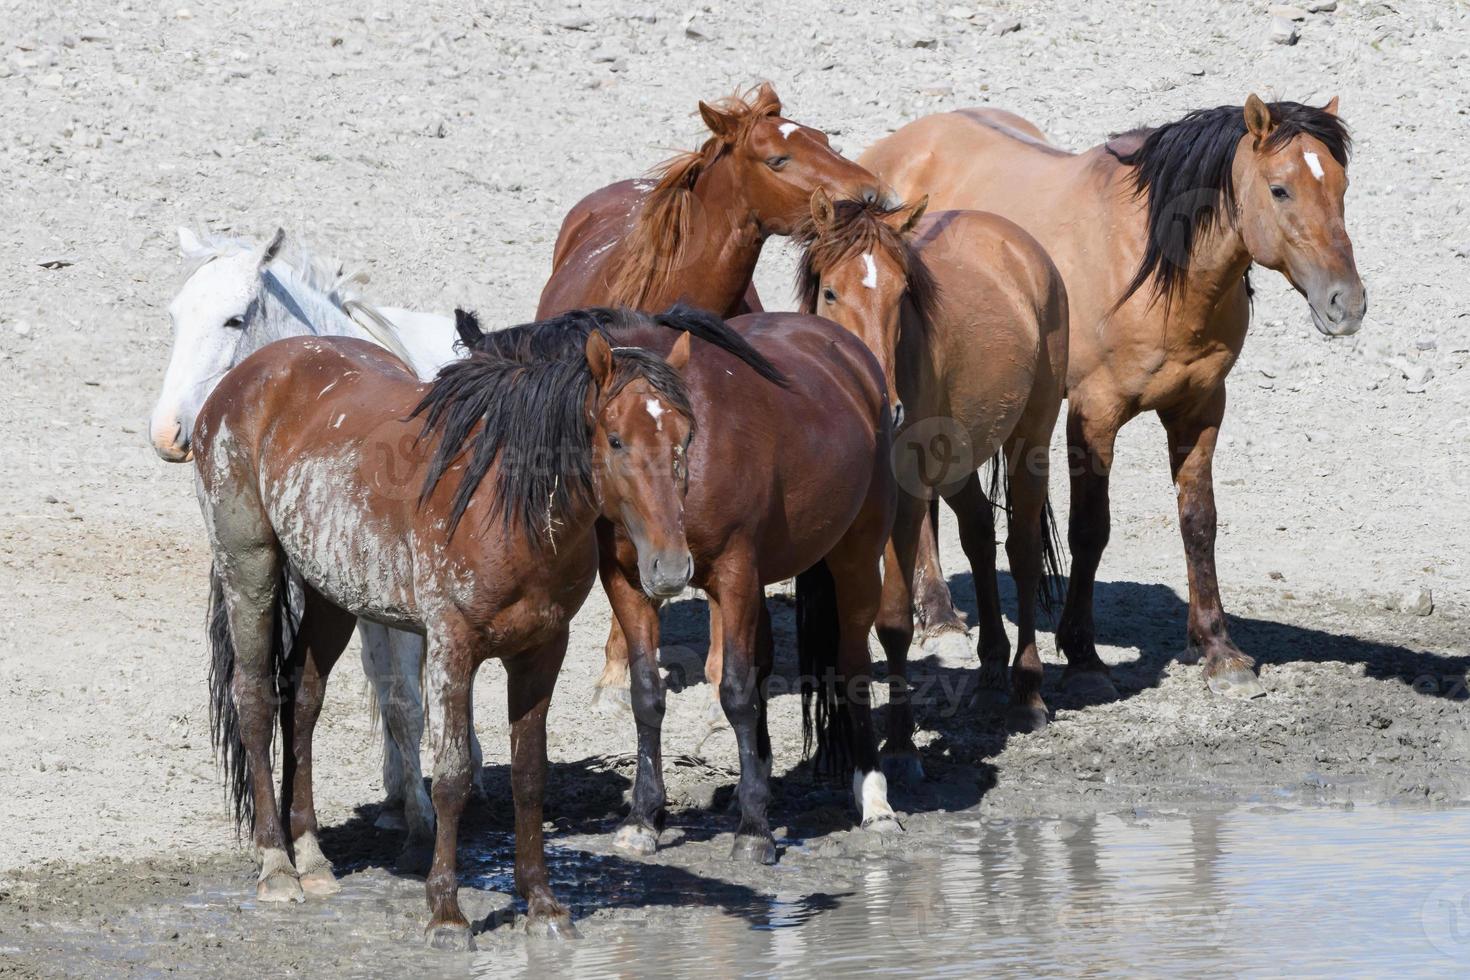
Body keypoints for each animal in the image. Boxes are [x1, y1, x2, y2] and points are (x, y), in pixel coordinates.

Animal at [195, 308, 717, 952]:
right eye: (616, 439)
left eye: (685, 439)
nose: (670, 569)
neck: (506, 505)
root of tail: (242, 380)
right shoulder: (451, 645)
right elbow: (450, 775)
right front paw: (446, 913)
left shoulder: (542, 650)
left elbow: (529, 775)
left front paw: (542, 904)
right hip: (250, 569)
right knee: (255, 700)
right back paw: (276, 866)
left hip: (329, 592)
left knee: (304, 705)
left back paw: (311, 858)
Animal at [458, 308, 899, 863]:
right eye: (614, 439)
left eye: (686, 438)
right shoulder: (628, 581)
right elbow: (648, 694)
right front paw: (644, 817)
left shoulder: (735, 572)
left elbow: (735, 691)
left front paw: (755, 830)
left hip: (856, 556)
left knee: (852, 661)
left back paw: (874, 800)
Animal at [799, 193, 1064, 734]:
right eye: (830, 293)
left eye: (903, 295)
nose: (887, 406)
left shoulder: (904, 501)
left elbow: (893, 620)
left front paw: (899, 737)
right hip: (957, 460)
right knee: (979, 533)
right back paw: (991, 665)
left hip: (1030, 441)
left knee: (1023, 553)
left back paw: (1027, 690)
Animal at [858, 95, 1364, 702]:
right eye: (1280, 189)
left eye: (1341, 186)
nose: (1347, 304)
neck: (1156, 268)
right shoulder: (1093, 416)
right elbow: (1089, 530)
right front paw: (1082, 654)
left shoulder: (1199, 408)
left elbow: (1199, 521)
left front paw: (1218, 649)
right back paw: (938, 617)